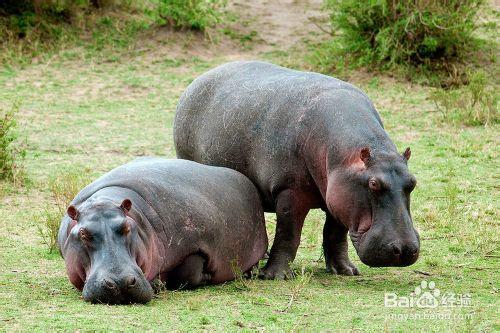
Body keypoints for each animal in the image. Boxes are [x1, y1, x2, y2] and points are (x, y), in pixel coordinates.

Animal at [174, 60, 420, 278]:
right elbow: (288, 234)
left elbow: (335, 233)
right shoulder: (290, 190)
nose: (405, 249)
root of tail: (199, 79)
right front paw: (275, 276)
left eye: (413, 182)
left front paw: (346, 271)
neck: (346, 157)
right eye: (373, 183)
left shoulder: (340, 196)